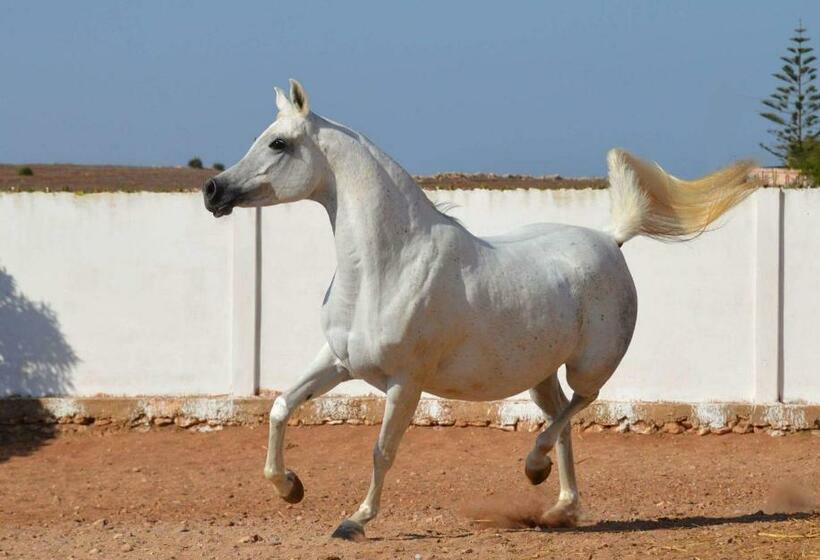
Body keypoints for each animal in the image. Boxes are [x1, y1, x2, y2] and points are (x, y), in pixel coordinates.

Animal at [202, 79, 757, 540]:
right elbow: (280, 406)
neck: (389, 264)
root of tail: (611, 239)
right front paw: (289, 487)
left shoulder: (405, 382)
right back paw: (559, 507)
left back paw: (534, 467)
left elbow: (382, 450)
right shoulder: (338, 362)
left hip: (589, 363)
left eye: (279, 143)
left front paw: (354, 521)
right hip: (539, 374)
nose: (213, 191)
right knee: (562, 419)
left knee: (580, 403)